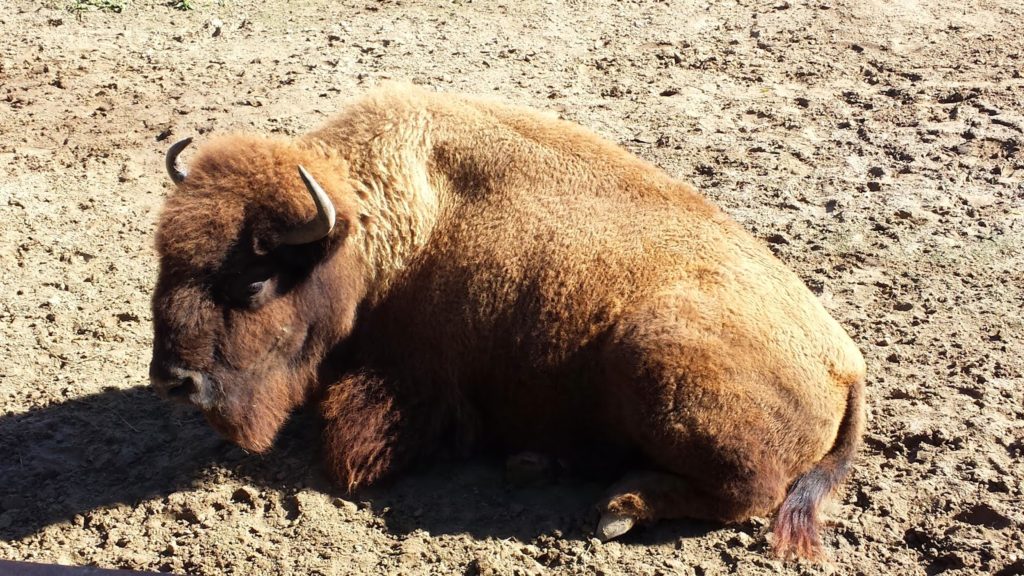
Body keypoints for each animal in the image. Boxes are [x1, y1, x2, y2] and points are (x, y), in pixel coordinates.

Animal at [150, 84, 866, 559]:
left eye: (254, 279)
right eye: (165, 256)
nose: (174, 381)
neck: (388, 226)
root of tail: (845, 363)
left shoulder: (412, 389)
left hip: (655, 360)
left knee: (749, 496)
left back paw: (616, 507)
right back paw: (539, 464)